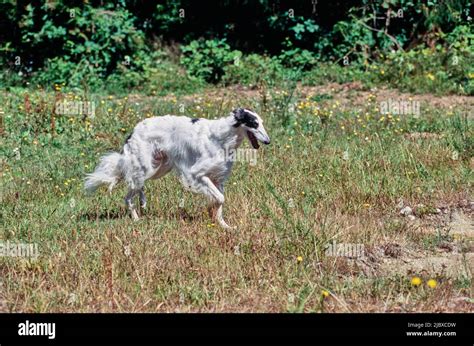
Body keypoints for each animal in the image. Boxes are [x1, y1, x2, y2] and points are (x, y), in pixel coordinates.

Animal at [84, 107, 270, 228]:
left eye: (261, 122)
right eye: (254, 123)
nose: (268, 141)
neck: (222, 137)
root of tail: (133, 131)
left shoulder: (218, 178)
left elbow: (219, 202)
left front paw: (224, 225)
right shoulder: (197, 174)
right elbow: (220, 199)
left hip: (158, 167)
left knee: (138, 187)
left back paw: (143, 203)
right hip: (147, 166)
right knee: (128, 196)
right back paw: (136, 219)